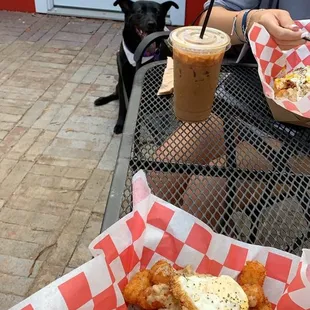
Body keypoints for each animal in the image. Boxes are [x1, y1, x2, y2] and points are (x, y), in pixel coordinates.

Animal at [93, 0, 178, 134]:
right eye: (140, 11)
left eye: (158, 12)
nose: (151, 24)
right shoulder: (124, 79)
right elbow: (123, 105)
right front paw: (121, 123)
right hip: (119, 84)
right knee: (116, 94)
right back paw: (101, 99)